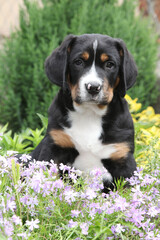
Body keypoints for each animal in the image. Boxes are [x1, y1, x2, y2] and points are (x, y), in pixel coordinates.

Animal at [31, 33, 138, 191]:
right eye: (79, 62)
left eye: (110, 64)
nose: (93, 87)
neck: (90, 113)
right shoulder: (54, 148)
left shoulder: (123, 158)